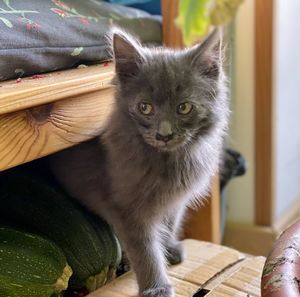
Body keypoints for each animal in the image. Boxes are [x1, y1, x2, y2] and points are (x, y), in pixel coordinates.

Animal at [49, 28, 227, 296]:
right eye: (145, 108)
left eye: (184, 108)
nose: (164, 134)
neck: (168, 164)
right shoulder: (129, 209)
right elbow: (145, 251)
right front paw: (156, 287)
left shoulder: (175, 202)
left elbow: (168, 225)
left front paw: (169, 248)